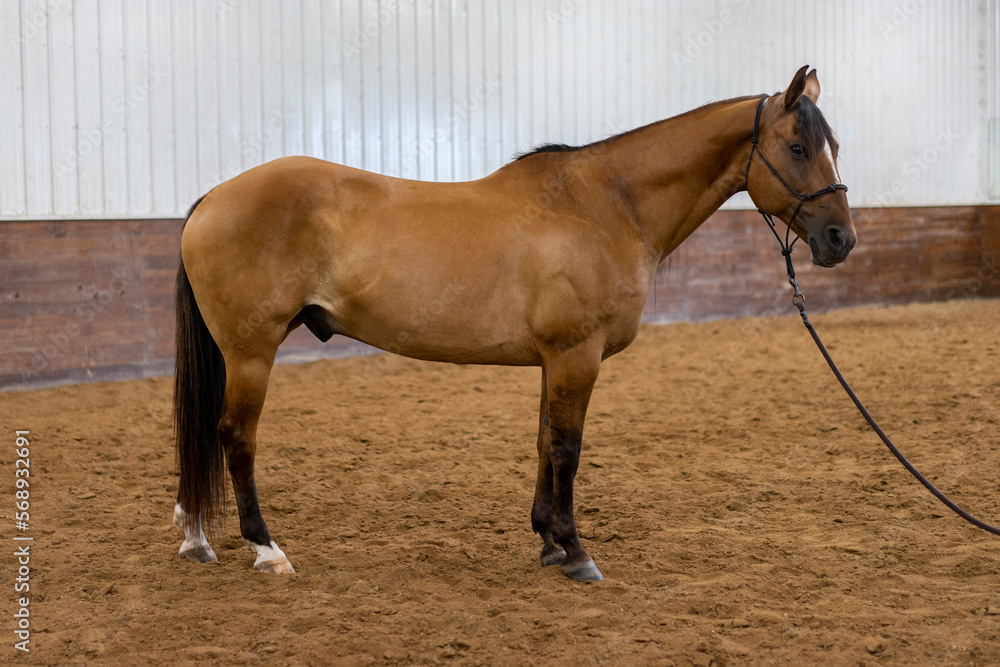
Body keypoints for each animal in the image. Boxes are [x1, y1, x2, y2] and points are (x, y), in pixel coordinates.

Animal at [173, 66, 855, 582]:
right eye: (798, 147)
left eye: (834, 148)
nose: (840, 239)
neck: (606, 206)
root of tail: (213, 197)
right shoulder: (577, 355)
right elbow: (568, 449)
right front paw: (577, 553)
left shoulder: (555, 360)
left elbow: (544, 441)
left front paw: (549, 540)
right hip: (251, 353)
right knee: (235, 437)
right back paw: (266, 549)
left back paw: (195, 537)